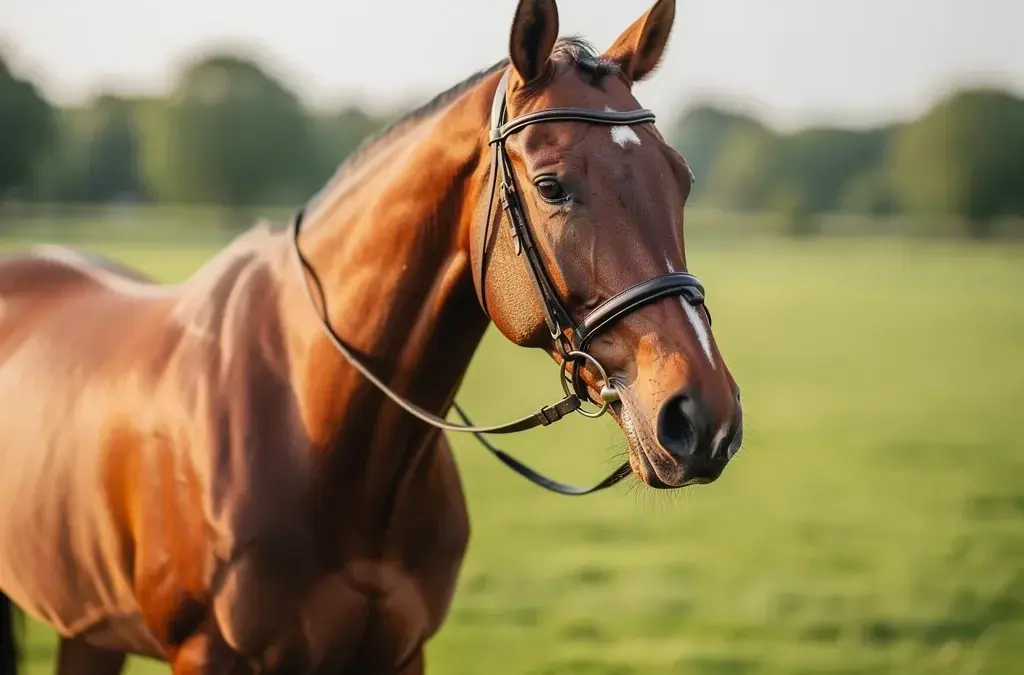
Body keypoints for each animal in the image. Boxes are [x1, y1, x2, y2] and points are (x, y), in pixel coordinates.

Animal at [0, 0, 743, 672]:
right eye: (551, 185)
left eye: (681, 179)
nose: (703, 416)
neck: (320, 425)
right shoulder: (208, 655)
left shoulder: (398, 651)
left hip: (87, 627)